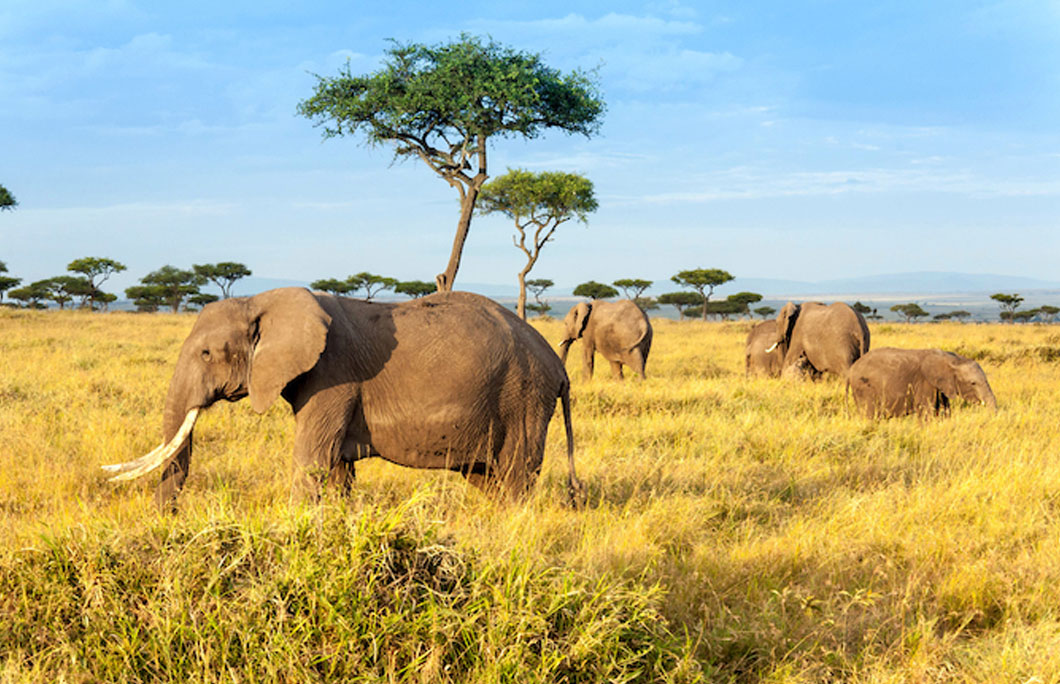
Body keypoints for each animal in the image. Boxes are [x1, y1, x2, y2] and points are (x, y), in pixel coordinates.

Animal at [847, 347, 996, 415]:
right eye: (973, 383)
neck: (952, 359)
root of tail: (851, 370)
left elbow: (944, 409)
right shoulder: (925, 382)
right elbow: (927, 410)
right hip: (864, 388)